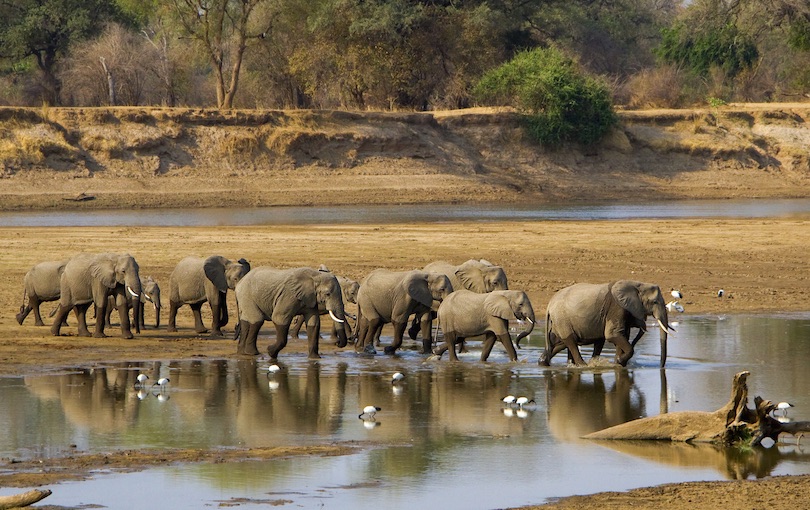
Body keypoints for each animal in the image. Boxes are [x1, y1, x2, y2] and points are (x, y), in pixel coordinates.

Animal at [536, 280, 676, 368]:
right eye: (655, 302)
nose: (661, 367)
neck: (637, 284)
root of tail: (549, 305)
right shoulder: (617, 307)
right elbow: (612, 335)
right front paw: (619, 361)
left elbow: (622, 336)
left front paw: (618, 364)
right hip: (561, 319)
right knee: (570, 341)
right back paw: (583, 366)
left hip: (559, 321)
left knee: (558, 342)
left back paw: (544, 362)